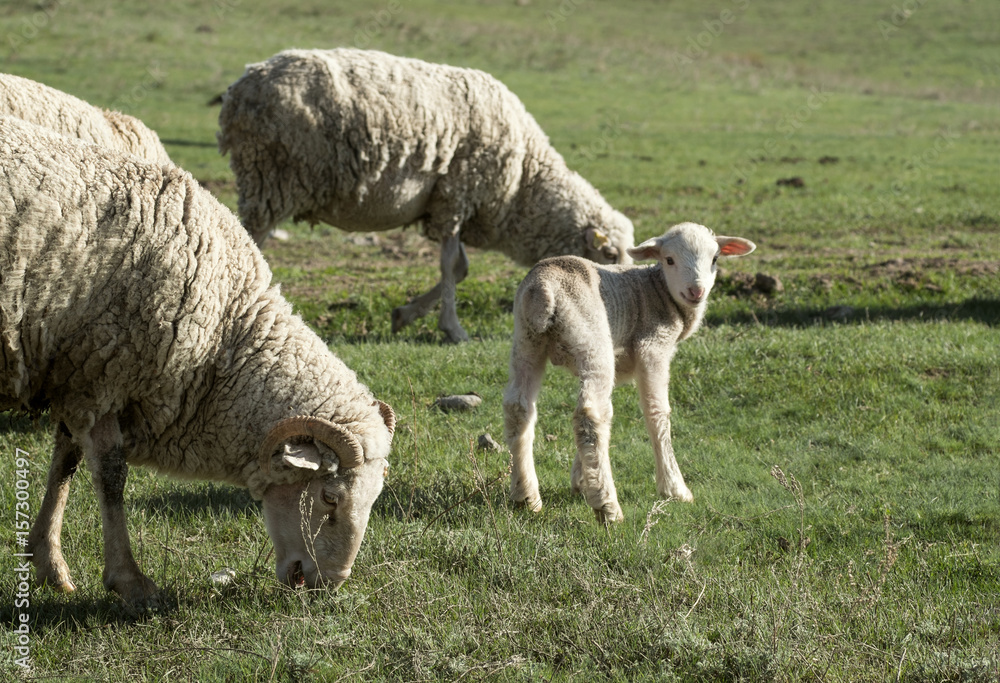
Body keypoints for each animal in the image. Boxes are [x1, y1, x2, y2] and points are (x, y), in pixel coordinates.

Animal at [0, 115, 394, 605]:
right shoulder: (104, 373)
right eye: (329, 498)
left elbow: (65, 463)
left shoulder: (79, 375)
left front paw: (48, 561)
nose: (330, 584)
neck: (222, 334)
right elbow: (110, 476)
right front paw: (130, 581)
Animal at [216, 48, 635, 343]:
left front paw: (405, 314)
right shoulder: (456, 193)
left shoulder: (451, 204)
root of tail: (239, 89)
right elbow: (451, 265)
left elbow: (461, 267)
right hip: (271, 176)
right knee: (249, 239)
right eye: (610, 255)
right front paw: (453, 329)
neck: (524, 184)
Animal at [502, 222, 755, 523]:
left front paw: (582, 479)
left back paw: (526, 496)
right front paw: (674, 489)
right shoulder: (653, 345)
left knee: (520, 408)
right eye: (669, 260)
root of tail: (544, 289)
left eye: (715, 259)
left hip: (526, 340)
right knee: (590, 414)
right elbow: (657, 412)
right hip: (592, 339)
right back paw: (608, 506)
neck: (658, 290)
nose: (696, 291)